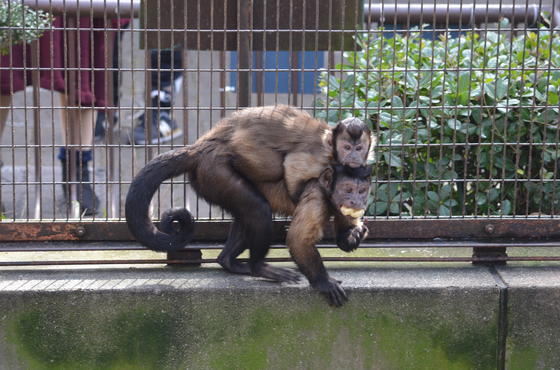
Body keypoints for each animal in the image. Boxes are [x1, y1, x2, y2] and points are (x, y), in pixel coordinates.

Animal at [124, 105, 374, 306]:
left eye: (362, 191)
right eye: (348, 189)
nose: (356, 201)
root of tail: (203, 146)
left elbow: (343, 238)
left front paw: (356, 234)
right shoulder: (317, 189)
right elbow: (297, 237)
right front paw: (323, 282)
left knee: (246, 215)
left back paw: (228, 261)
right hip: (215, 170)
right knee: (258, 209)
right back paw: (259, 267)